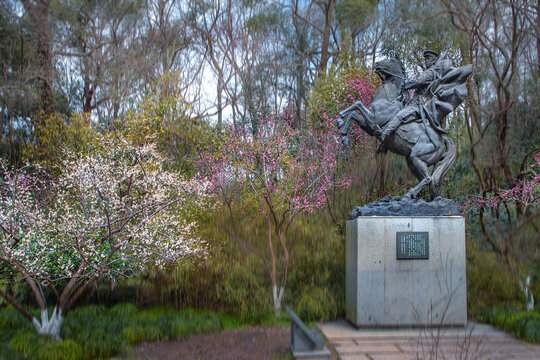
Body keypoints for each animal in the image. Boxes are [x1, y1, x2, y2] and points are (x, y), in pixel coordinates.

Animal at [340, 56, 458, 200]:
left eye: (389, 60)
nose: (377, 64)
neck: (388, 100)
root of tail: (441, 140)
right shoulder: (367, 125)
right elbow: (354, 112)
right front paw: (343, 134)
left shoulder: (372, 124)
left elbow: (357, 105)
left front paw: (340, 123)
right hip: (411, 161)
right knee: (427, 180)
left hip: (417, 157)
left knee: (428, 178)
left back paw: (409, 194)